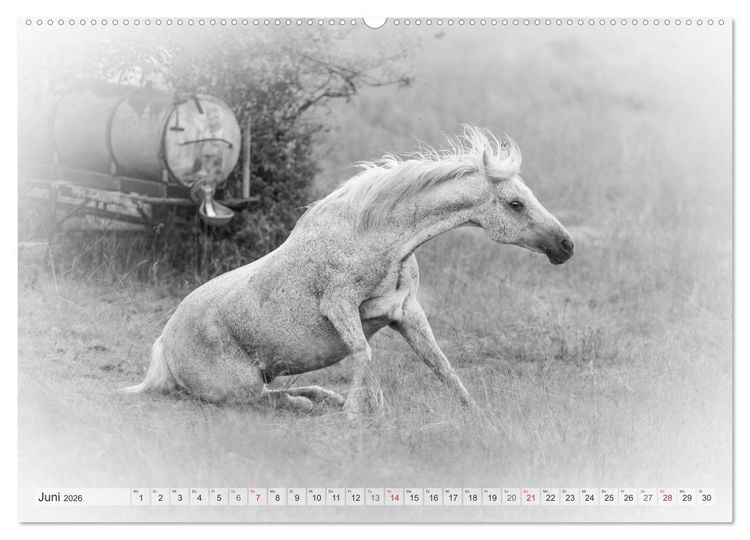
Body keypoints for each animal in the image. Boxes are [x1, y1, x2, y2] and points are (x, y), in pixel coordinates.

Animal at [124, 126, 574, 416]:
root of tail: (164, 344)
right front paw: (360, 414)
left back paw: (324, 398)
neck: (376, 238)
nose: (566, 246)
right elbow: (364, 354)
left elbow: (440, 364)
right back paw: (309, 404)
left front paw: (477, 415)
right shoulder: (339, 307)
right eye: (515, 204)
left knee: (281, 390)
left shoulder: (406, 313)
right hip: (239, 385)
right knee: (264, 398)